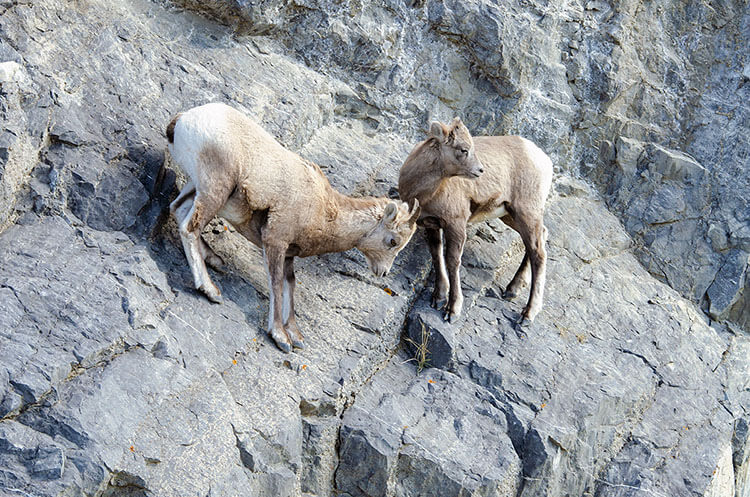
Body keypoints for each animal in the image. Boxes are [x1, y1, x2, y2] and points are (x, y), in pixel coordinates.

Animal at [400, 116, 552, 326]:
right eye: (464, 149)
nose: (480, 170)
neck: (424, 191)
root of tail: (545, 161)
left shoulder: (456, 224)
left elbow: (452, 261)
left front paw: (452, 310)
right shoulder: (431, 225)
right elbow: (437, 256)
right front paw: (438, 298)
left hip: (526, 213)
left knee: (539, 254)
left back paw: (527, 314)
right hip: (510, 215)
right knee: (540, 237)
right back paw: (512, 290)